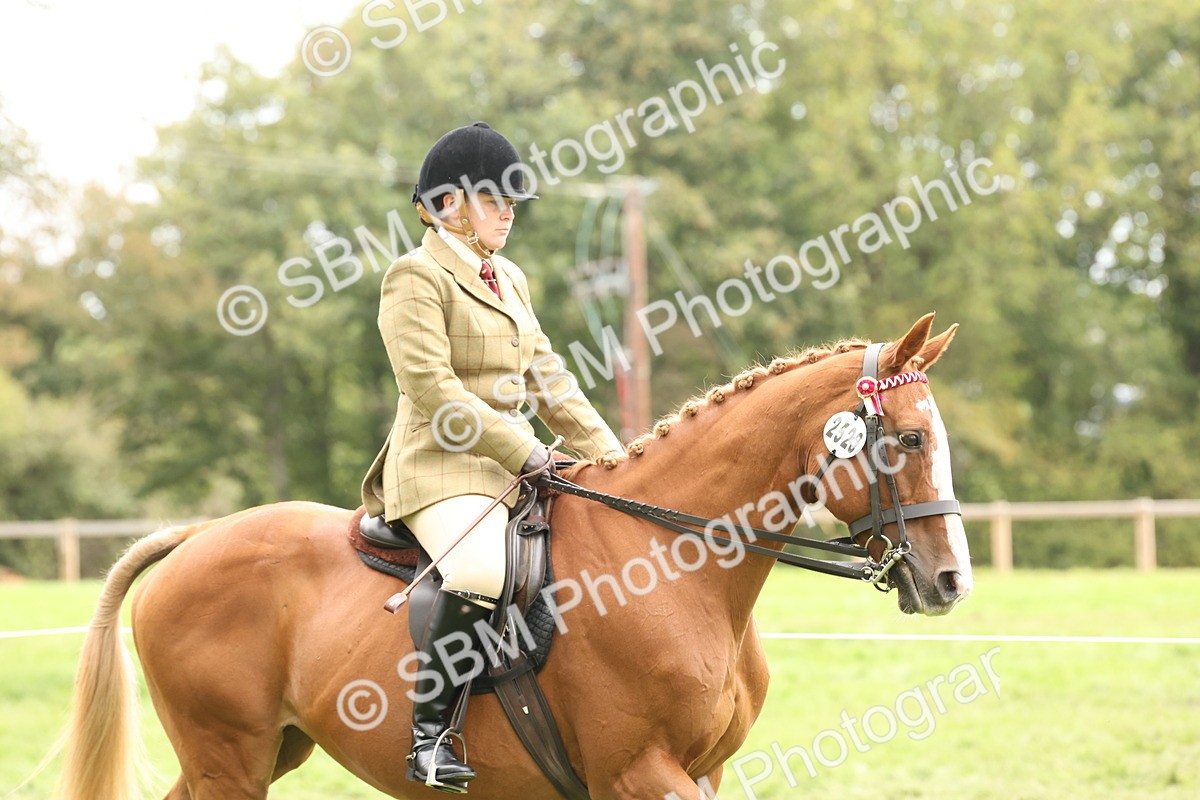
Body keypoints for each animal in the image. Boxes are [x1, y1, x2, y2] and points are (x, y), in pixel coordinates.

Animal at [55, 313, 972, 800]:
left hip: (261, 753)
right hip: (230, 759)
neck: (671, 562)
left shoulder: (701, 772)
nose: (950, 580)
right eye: (911, 438)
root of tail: (195, 539)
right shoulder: (641, 774)